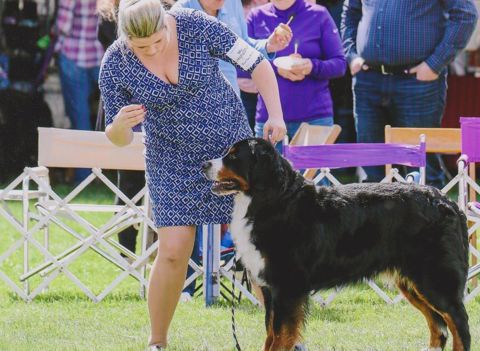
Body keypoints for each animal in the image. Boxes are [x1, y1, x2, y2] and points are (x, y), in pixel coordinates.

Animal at [201, 138, 470, 351]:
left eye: (234, 156)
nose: (204, 165)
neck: (272, 199)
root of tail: (448, 202)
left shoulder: (286, 286)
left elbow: (280, 334)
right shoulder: (269, 287)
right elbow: (270, 333)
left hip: (434, 278)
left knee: (459, 321)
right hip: (412, 283)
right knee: (438, 326)